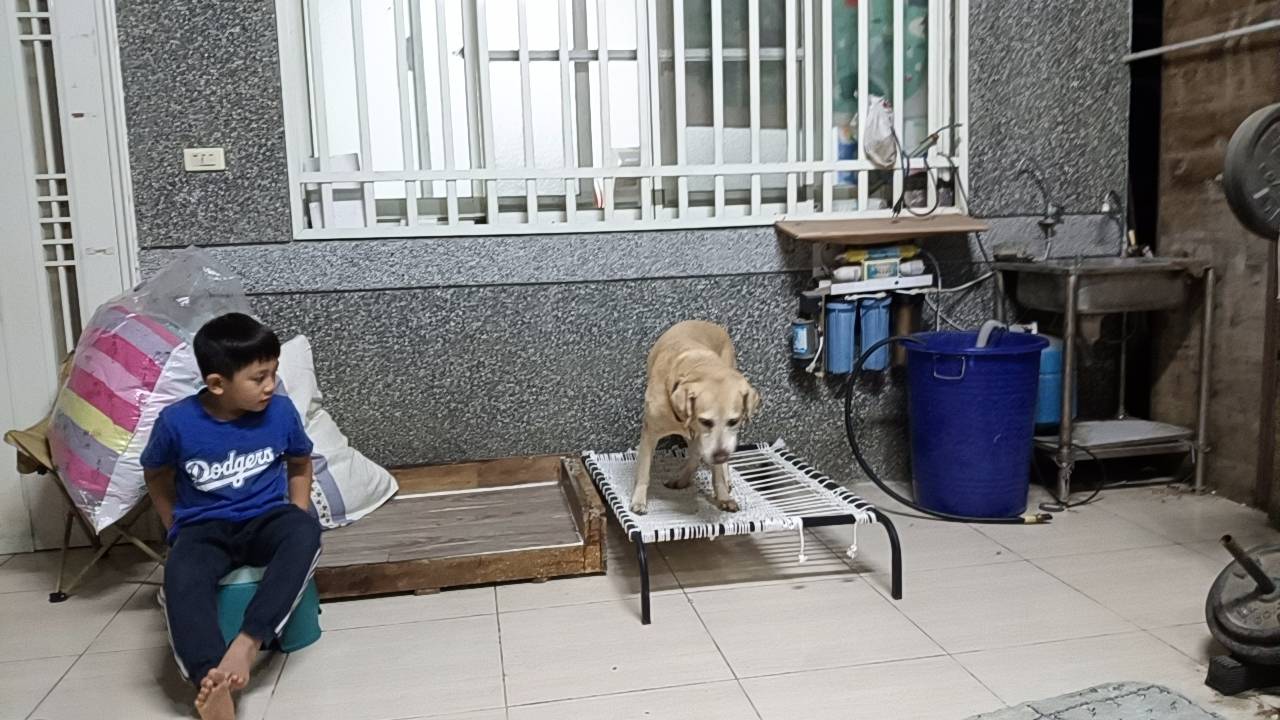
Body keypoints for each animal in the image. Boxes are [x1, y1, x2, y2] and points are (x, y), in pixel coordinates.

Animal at [631, 321, 760, 515]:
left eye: (733, 421)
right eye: (705, 421)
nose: (720, 456)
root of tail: (708, 323)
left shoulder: (713, 443)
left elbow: (717, 473)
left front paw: (723, 497)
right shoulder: (650, 433)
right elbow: (643, 471)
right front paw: (639, 501)